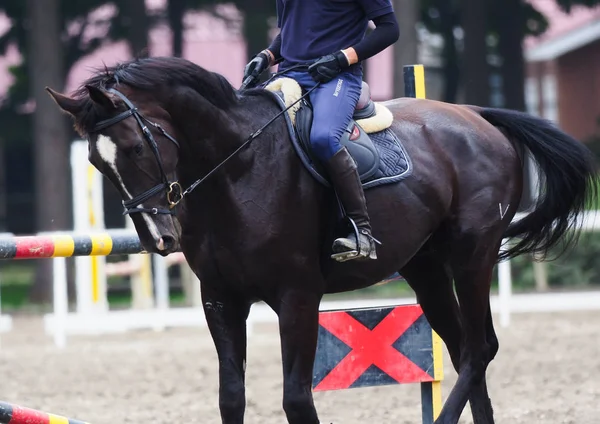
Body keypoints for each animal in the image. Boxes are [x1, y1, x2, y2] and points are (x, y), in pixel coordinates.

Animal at [45, 57, 596, 424]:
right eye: (96, 162)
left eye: (136, 147)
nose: (158, 236)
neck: (237, 169)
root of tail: (477, 116)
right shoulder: (220, 299)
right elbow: (231, 396)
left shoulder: (297, 295)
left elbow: (296, 397)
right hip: (427, 270)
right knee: (466, 351)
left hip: (472, 257)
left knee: (479, 349)